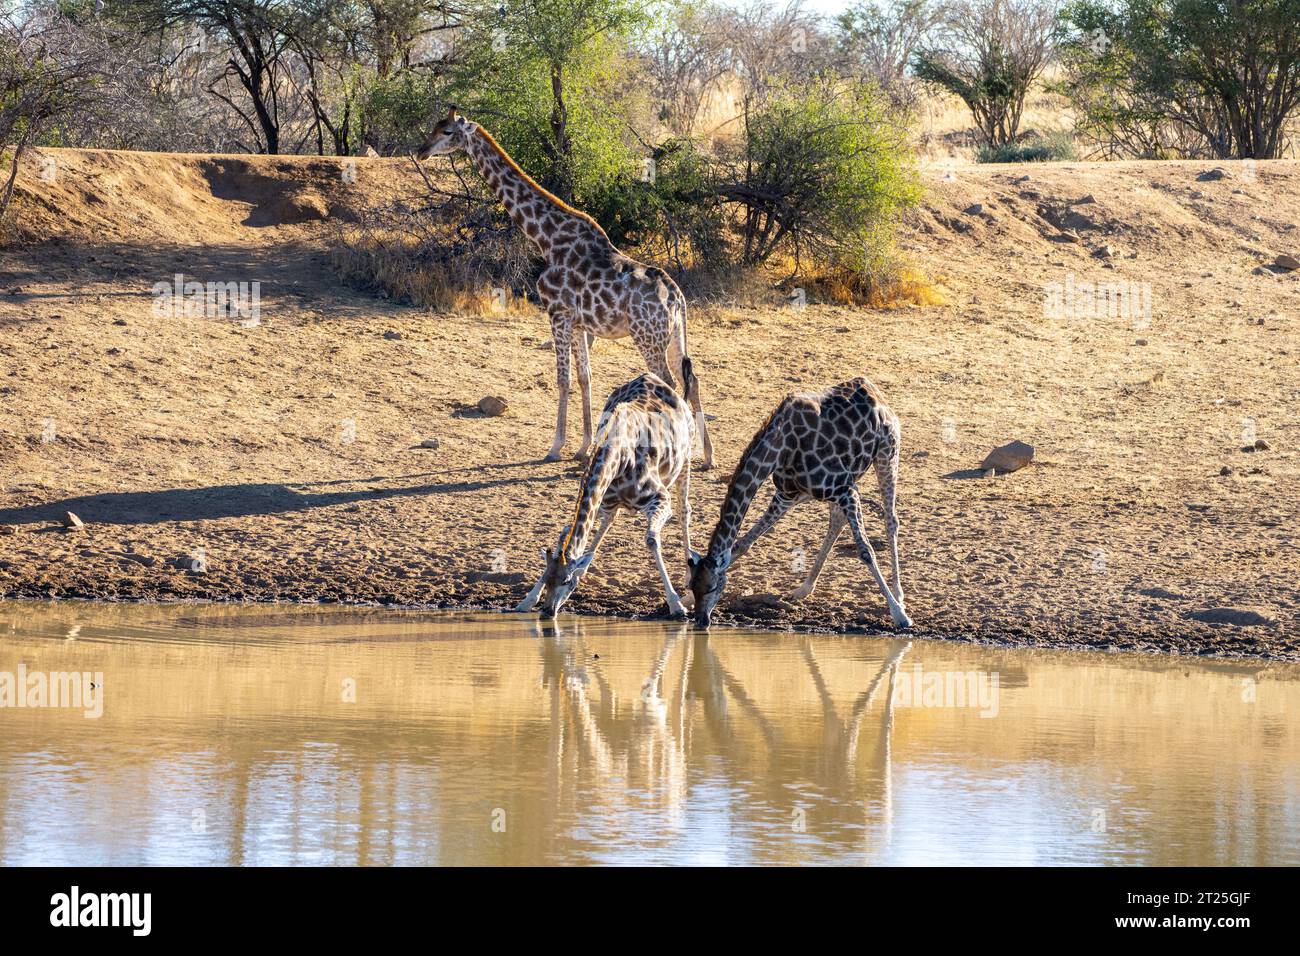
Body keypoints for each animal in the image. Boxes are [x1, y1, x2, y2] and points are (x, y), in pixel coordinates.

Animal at [416, 105, 717, 470]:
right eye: (435, 127)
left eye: (447, 132)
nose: (421, 151)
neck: (547, 239)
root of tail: (677, 299)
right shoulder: (578, 323)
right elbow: (585, 377)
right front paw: (583, 446)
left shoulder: (556, 313)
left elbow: (563, 379)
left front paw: (555, 447)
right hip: (673, 337)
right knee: (692, 381)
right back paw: (707, 456)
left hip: (647, 337)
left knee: (671, 387)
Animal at [514, 361, 702, 621]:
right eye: (546, 577)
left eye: (566, 581)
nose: (547, 611)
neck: (617, 456)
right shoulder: (603, 500)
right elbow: (570, 532)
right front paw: (526, 600)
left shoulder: (659, 497)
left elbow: (652, 539)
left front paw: (676, 604)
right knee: (610, 521)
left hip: (685, 461)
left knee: (685, 510)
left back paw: (688, 577)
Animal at [686, 377, 909, 632]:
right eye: (692, 585)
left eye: (713, 587)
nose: (701, 621)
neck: (782, 447)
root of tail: (873, 389)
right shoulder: (788, 495)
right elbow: (742, 544)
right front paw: (682, 601)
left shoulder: (844, 490)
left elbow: (866, 551)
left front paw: (899, 614)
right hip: (828, 489)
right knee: (837, 520)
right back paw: (804, 588)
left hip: (887, 454)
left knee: (891, 520)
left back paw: (899, 595)